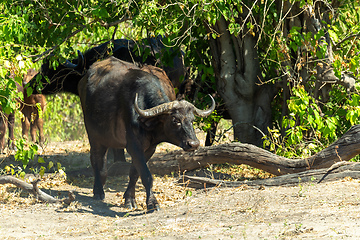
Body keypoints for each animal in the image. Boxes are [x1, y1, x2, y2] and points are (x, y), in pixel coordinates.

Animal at [78, 57, 214, 211]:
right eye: (175, 120)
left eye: (192, 119)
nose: (194, 144)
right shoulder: (133, 146)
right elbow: (146, 175)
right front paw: (152, 203)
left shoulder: (149, 148)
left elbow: (134, 173)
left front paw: (129, 199)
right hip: (93, 135)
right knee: (96, 159)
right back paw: (98, 191)